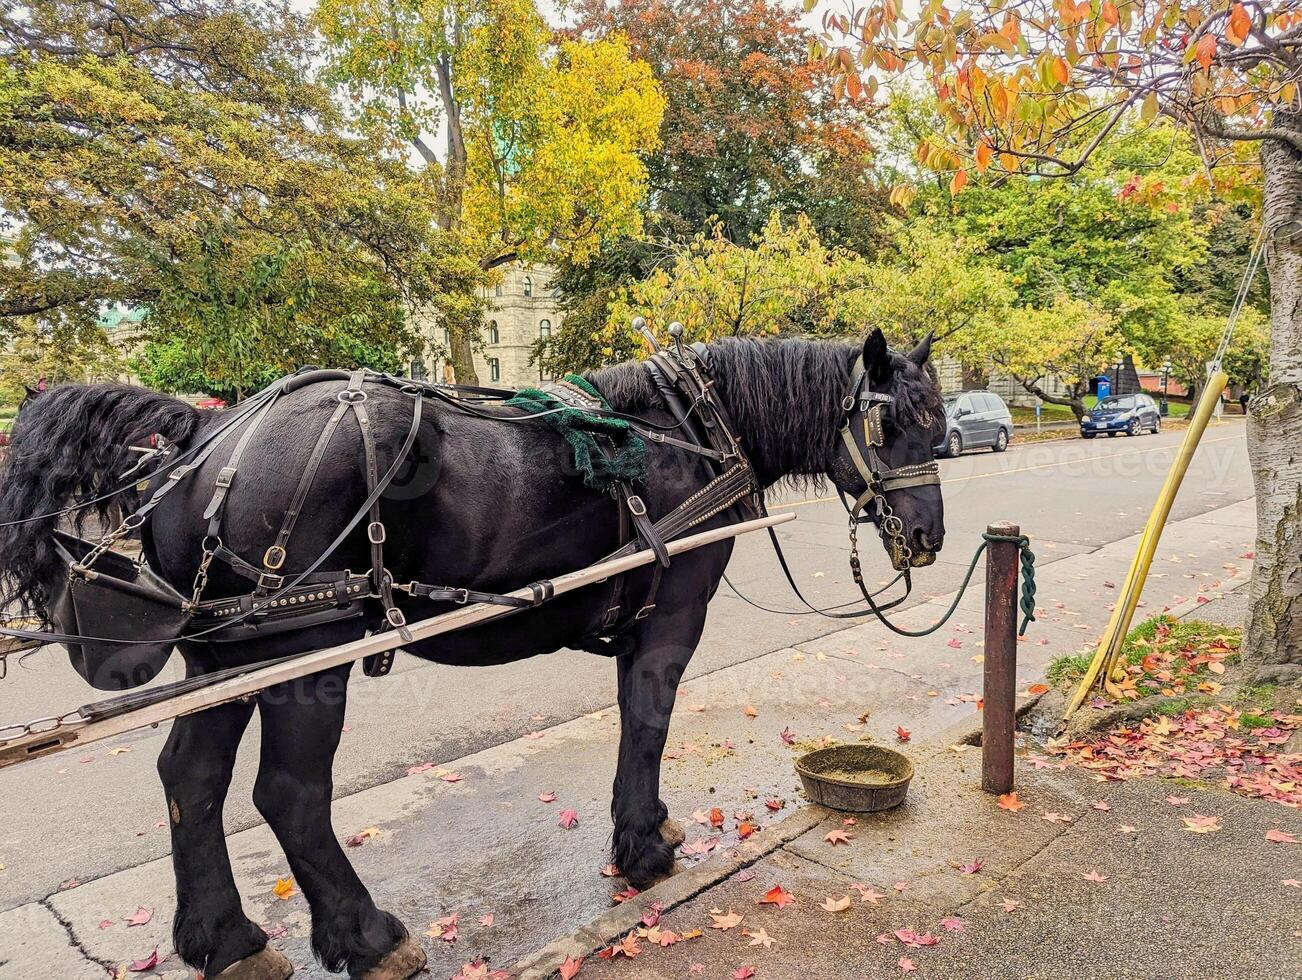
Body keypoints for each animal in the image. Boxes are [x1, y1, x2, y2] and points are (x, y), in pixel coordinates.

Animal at [0, 330, 942, 978]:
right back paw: (368, 937)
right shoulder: (674, 616)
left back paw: (222, 939)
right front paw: (643, 849)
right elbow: (649, 723)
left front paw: (644, 828)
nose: (929, 537)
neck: (690, 432)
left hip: (226, 657)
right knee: (289, 795)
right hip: (308, 650)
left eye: (937, 425)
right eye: (894, 422)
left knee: (190, 778)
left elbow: (633, 725)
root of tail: (204, 436)